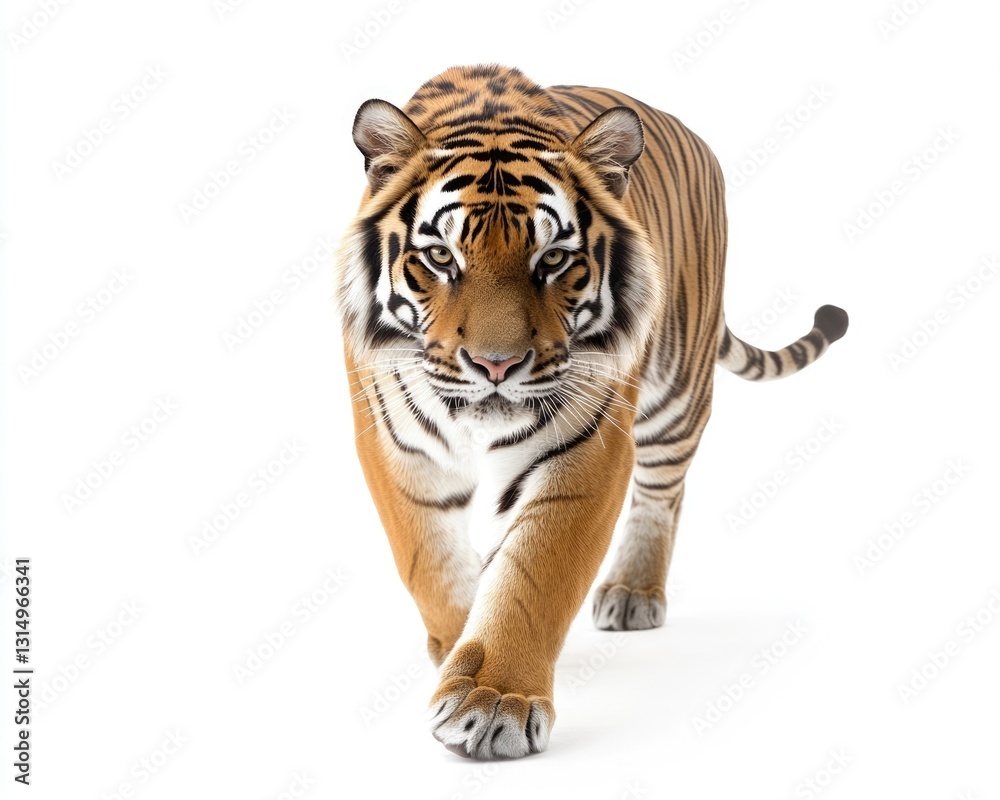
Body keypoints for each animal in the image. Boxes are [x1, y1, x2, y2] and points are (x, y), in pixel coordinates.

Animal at [335, 64, 847, 759]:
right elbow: (428, 561)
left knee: (663, 493)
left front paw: (493, 698)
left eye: (553, 259)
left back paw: (633, 592)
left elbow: (536, 574)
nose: (496, 365)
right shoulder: (394, 439)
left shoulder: (590, 445)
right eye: (441, 257)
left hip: (676, 395)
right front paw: (458, 643)